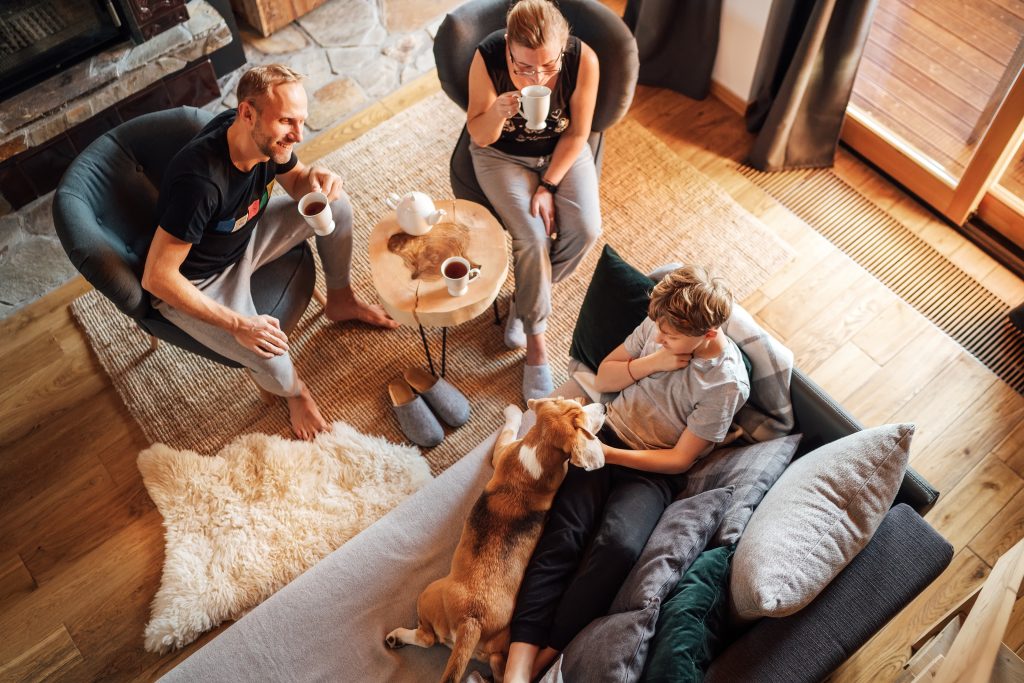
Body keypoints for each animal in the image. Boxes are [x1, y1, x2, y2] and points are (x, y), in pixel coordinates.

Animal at [385, 397, 606, 683]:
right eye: (577, 409)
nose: (604, 408)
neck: (539, 447)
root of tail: (472, 621)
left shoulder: (501, 451)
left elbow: (509, 429)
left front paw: (512, 413)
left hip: (427, 595)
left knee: (426, 638)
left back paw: (397, 637)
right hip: (499, 643)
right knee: (499, 665)